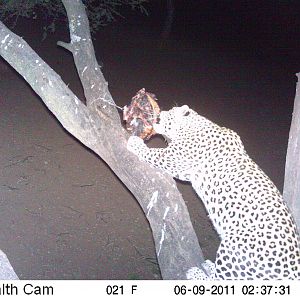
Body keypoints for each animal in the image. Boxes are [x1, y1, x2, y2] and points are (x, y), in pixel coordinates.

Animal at [126, 105, 300, 278]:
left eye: (170, 111)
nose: (160, 113)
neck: (193, 125)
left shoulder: (172, 158)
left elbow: (152, 153)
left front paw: (135, 142)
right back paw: (209, 266)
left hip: (233, 247)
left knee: (222, 279)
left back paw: (197, 273)